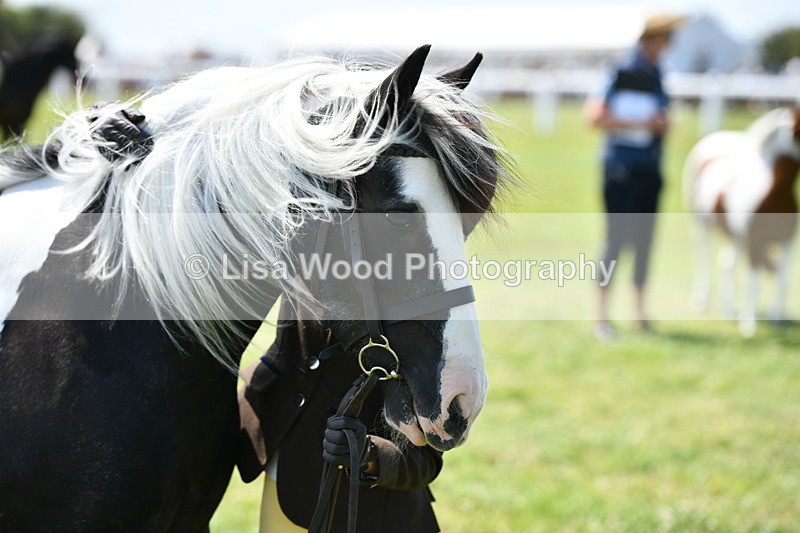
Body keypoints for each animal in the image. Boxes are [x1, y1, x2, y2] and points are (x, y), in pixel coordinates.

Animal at [684, 107, 800, 336]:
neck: (774, 192)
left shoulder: (787, 242)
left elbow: (784, 280)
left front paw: (777, 319)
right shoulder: (755, 242)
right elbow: (753, 282)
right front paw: (749, 325)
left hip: (736, 236)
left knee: (726, 263)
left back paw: (729, 309)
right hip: (701, 224)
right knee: (705, 260)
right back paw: (702, 300)